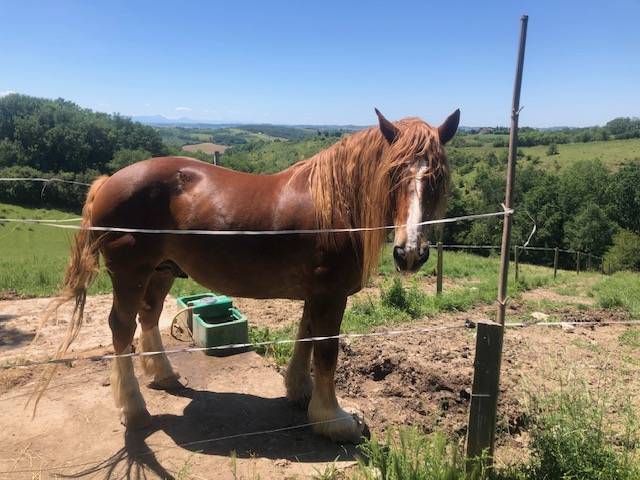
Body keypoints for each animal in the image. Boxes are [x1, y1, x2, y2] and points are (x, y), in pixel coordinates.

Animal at [39, 108, 458, 443]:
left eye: (437, 177)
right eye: (393, 173)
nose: (411, 253)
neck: (335, 205)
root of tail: (108, 181)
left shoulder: (316, 293)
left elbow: (305, 336)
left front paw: (299, 392)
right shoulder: (330, 293)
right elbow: (325, 351)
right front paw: (333, 420)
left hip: (161, 271)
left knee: (149, 316)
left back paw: (163, 375)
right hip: (130, 273)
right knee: (122, 328)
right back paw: (133, 408)